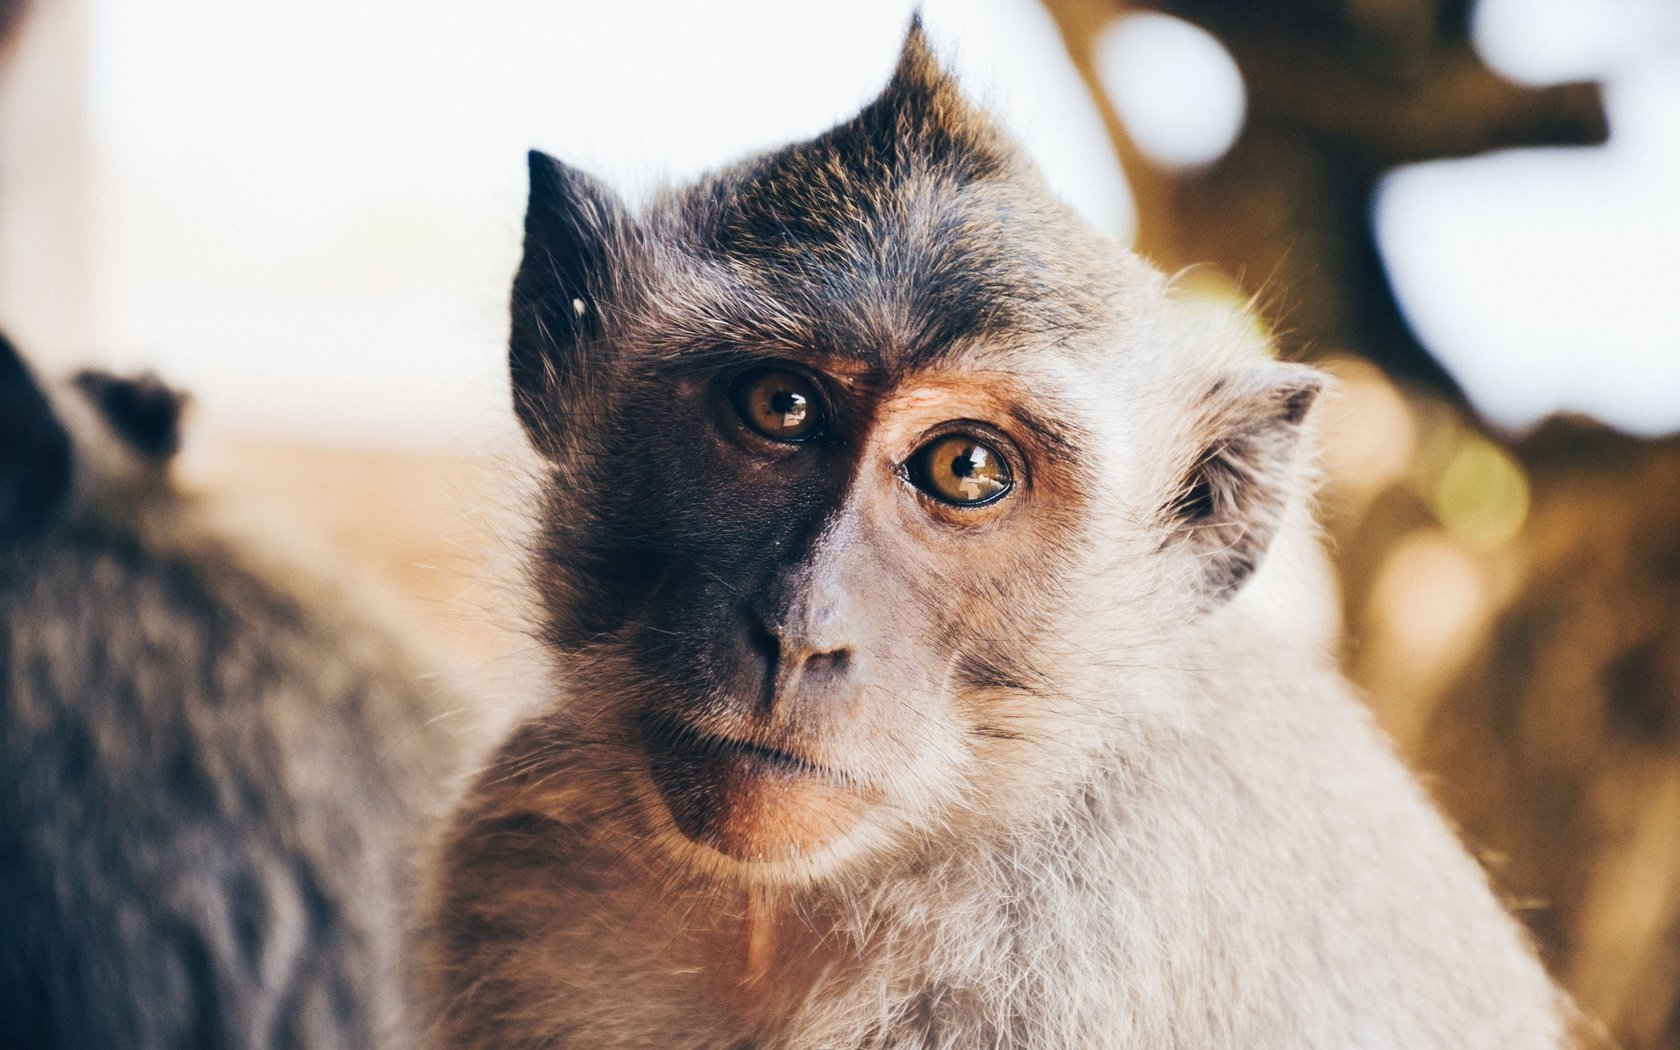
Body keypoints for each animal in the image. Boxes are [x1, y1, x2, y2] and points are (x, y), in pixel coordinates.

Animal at [413, 24, 1565, 1048]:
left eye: (966, 470)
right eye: (782, 405)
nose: (801, 633)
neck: (777, 913)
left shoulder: (1080, 943)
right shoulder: (519, 872)